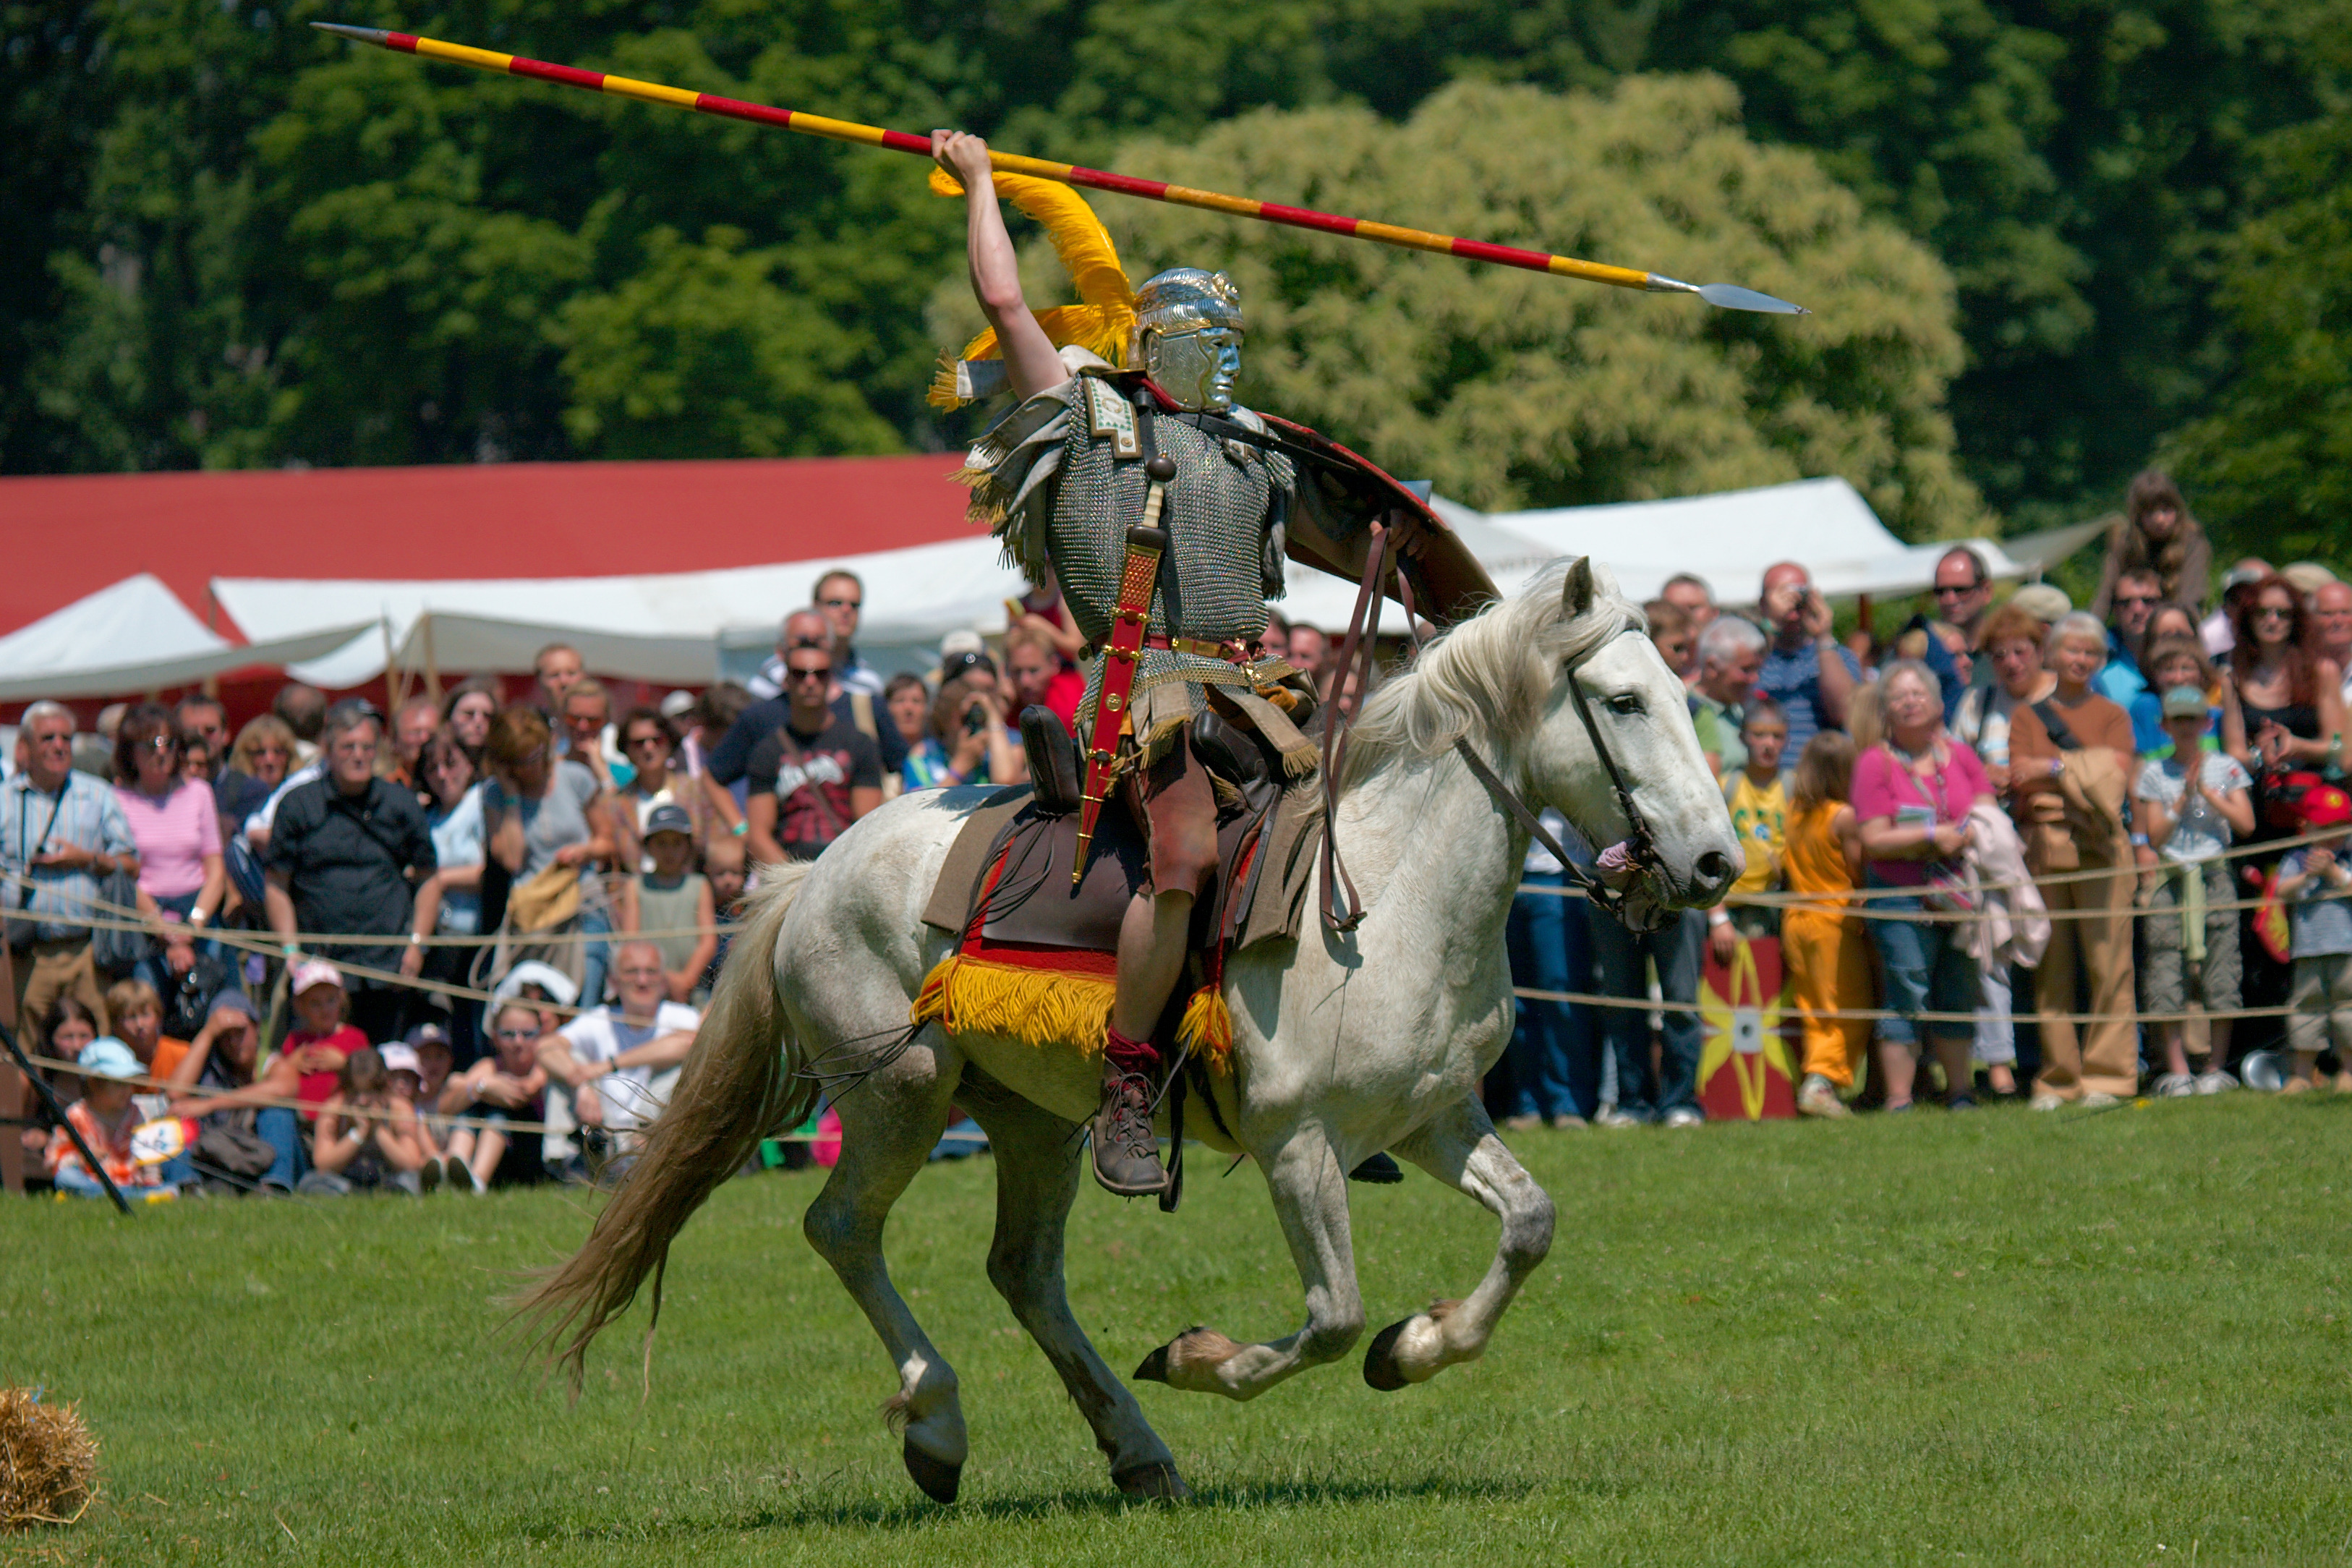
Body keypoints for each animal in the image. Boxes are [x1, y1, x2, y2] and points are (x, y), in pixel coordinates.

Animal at [534, 557, 1750, 1504]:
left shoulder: (1431, 1118)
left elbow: (1529, 1225)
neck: (1386, 894)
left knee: (1023, 1272)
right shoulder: (1298, 1144)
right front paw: (1202, 1356)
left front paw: (1418, 1348)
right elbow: (1331, 1317)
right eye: (1624, 703)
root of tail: (813, 870)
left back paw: (1136, 1453)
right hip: (900, 1095)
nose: (1715, 863)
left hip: (1028, 1120)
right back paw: (941, 1427)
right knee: (842, 1231)